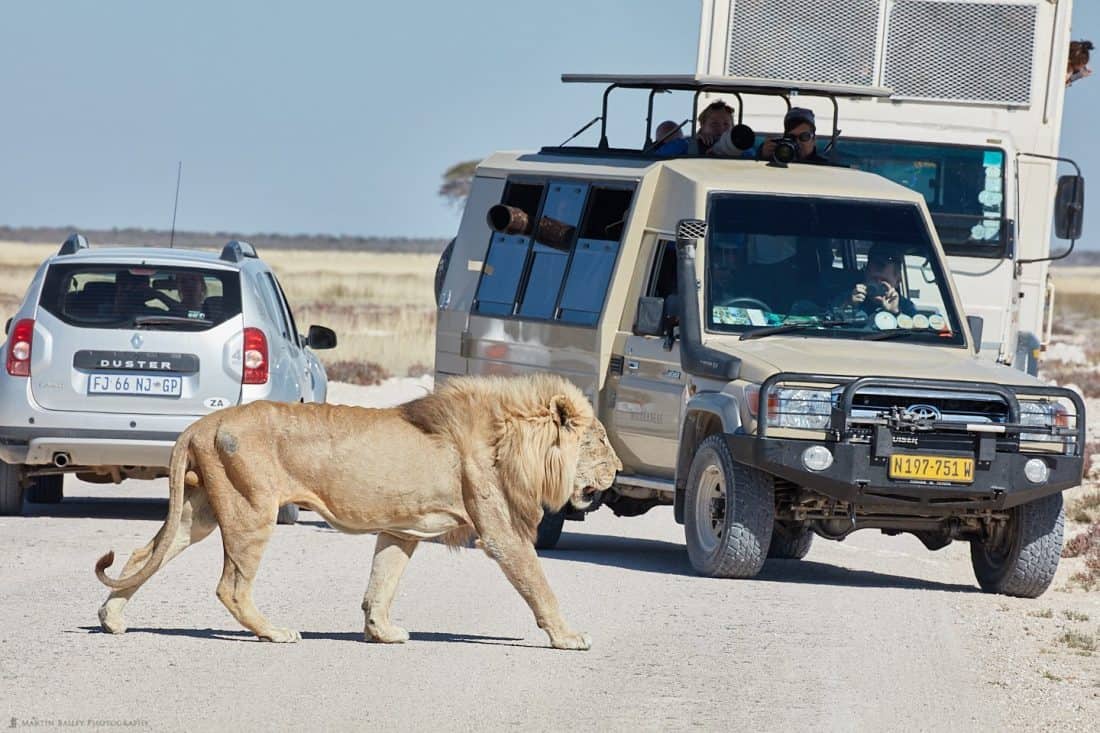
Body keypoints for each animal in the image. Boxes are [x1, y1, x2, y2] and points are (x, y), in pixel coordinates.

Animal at [95, 374, 624, 647]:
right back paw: (276, 633)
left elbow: (381, 584)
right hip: (251, 510)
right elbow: (539, 585)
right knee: (231, 587)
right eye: (599, 441)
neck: (512, 440)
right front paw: (568, 636)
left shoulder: (402, 529)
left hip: (199, 512)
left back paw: (112, 619)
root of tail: (202, 423)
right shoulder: (500, 532)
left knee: (144, 556)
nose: (619, 469)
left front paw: (381, 632)